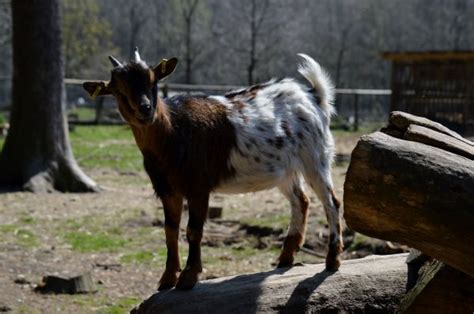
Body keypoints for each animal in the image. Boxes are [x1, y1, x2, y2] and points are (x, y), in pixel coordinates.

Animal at [83, 47, 342, 290]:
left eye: (153, 81)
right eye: (117, 89)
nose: (145, 109)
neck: (173, 131)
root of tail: (313, 95)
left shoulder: (198, 186)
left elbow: (193, 230)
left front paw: (188, 277)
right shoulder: (167, 189)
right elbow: (170, 230)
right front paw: (167, 278)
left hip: (315, 156)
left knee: (331, 202)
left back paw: (332, 261)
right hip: (286, 170)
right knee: (301, 201)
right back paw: (285, 258)